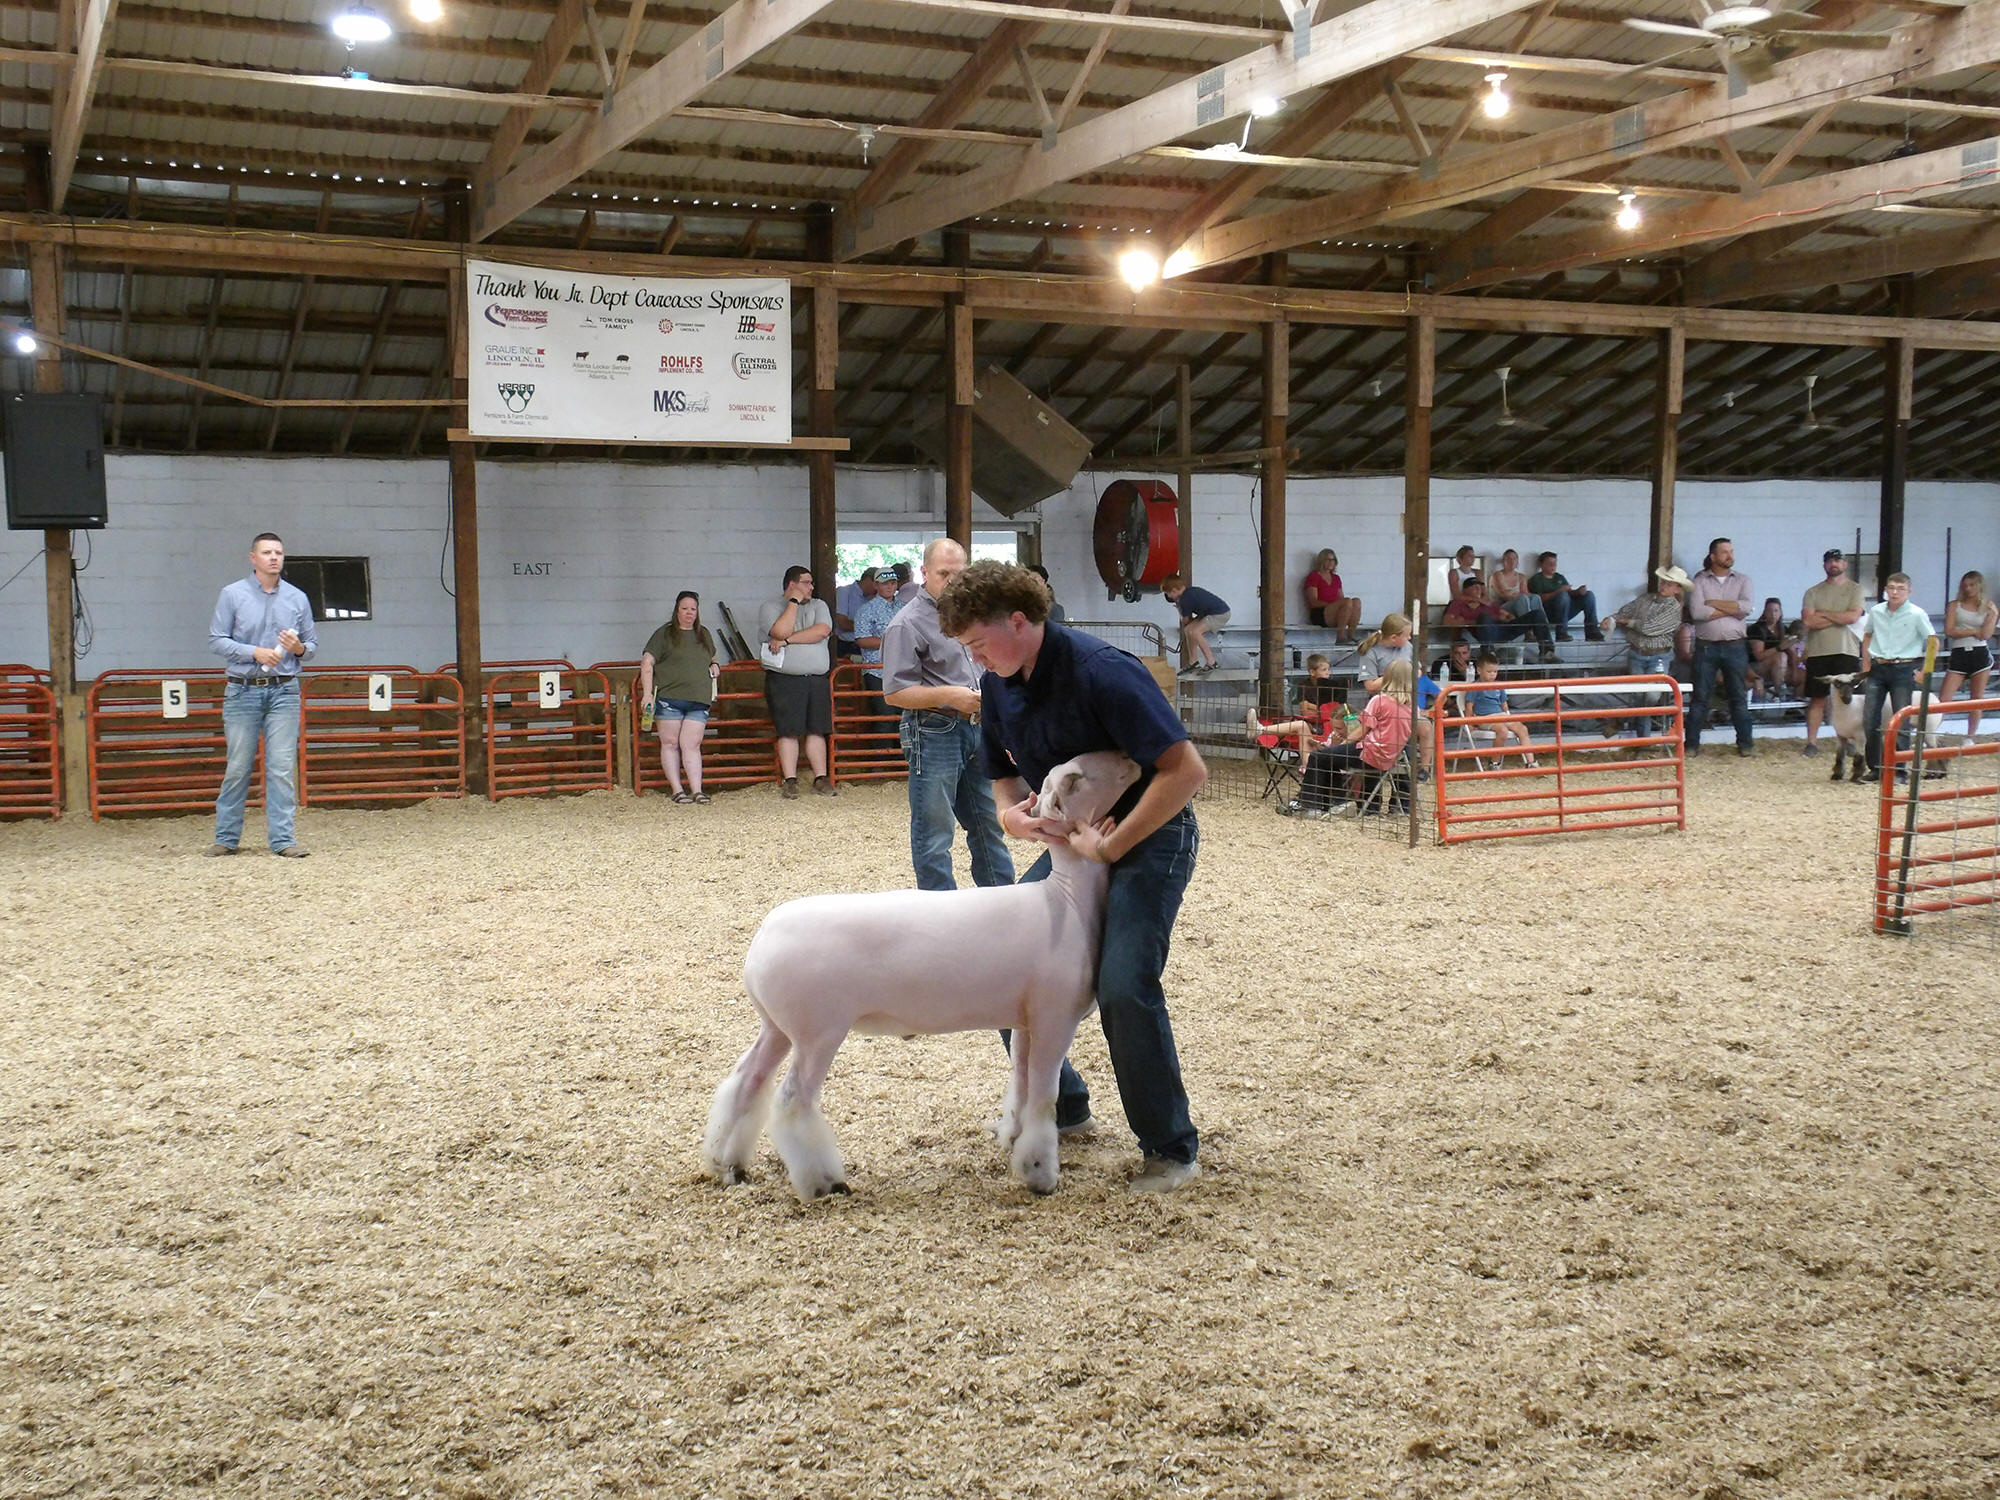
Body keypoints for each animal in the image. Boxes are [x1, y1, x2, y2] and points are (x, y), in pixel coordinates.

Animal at [702, 750, 1142, 1202]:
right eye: (1075, 779)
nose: (1131, 760)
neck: (1067, 900)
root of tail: (761, 941)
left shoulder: (1024, 1020)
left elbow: (1020, 1083)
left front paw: (1012, 1139)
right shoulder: (1055, 1017)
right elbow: (1042, 1096)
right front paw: (1039, 1173)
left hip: (777, 1026)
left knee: (746, 1081)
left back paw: (727, 1164)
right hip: (817, 1031)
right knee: (792, 1100)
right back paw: (821, 1182)